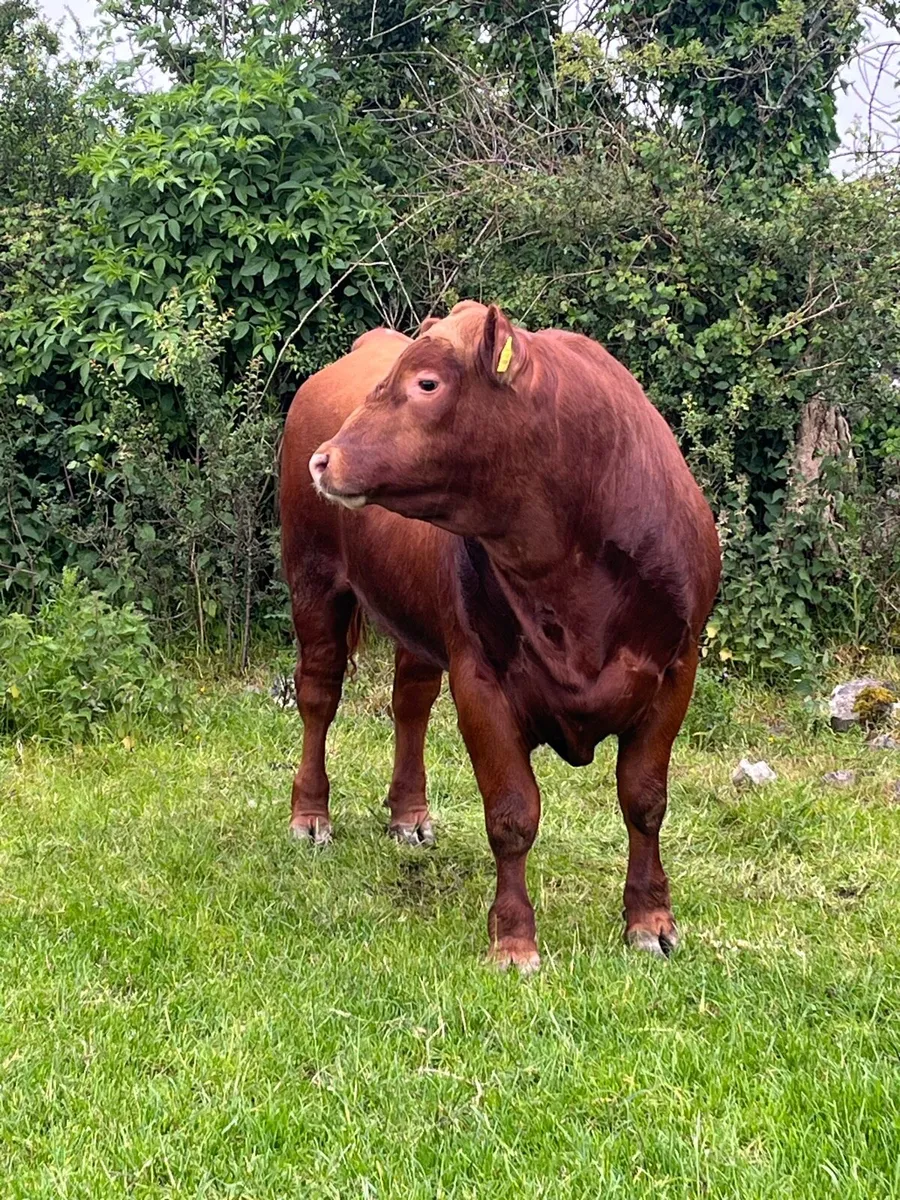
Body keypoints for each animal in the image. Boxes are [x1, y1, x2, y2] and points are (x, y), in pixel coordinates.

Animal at [282, 300, 721, 972]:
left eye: (427, 383)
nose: (325, 460)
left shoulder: (676, 669)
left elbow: (645, 801)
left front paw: (651, 920)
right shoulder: (481, 681)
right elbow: (512, 814)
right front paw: (513, 939)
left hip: (415, 614)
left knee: (410, 701)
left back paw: (409, 815)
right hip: (312, 577)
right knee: (318, 695)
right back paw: (310, 814)